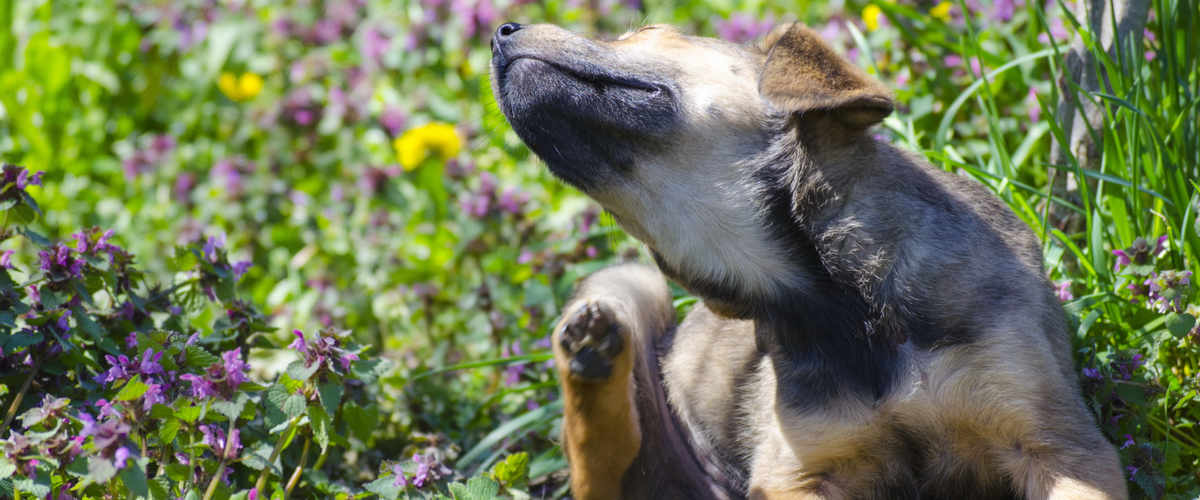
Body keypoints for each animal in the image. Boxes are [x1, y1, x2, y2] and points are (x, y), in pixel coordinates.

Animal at [484, 20, 1123, 498]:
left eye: (648, 31)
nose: (499, 30)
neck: (837, 302)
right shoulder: (797, 472)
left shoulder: (1061, 447)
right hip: (629, 280)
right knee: (599, 465)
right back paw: (590, 350)